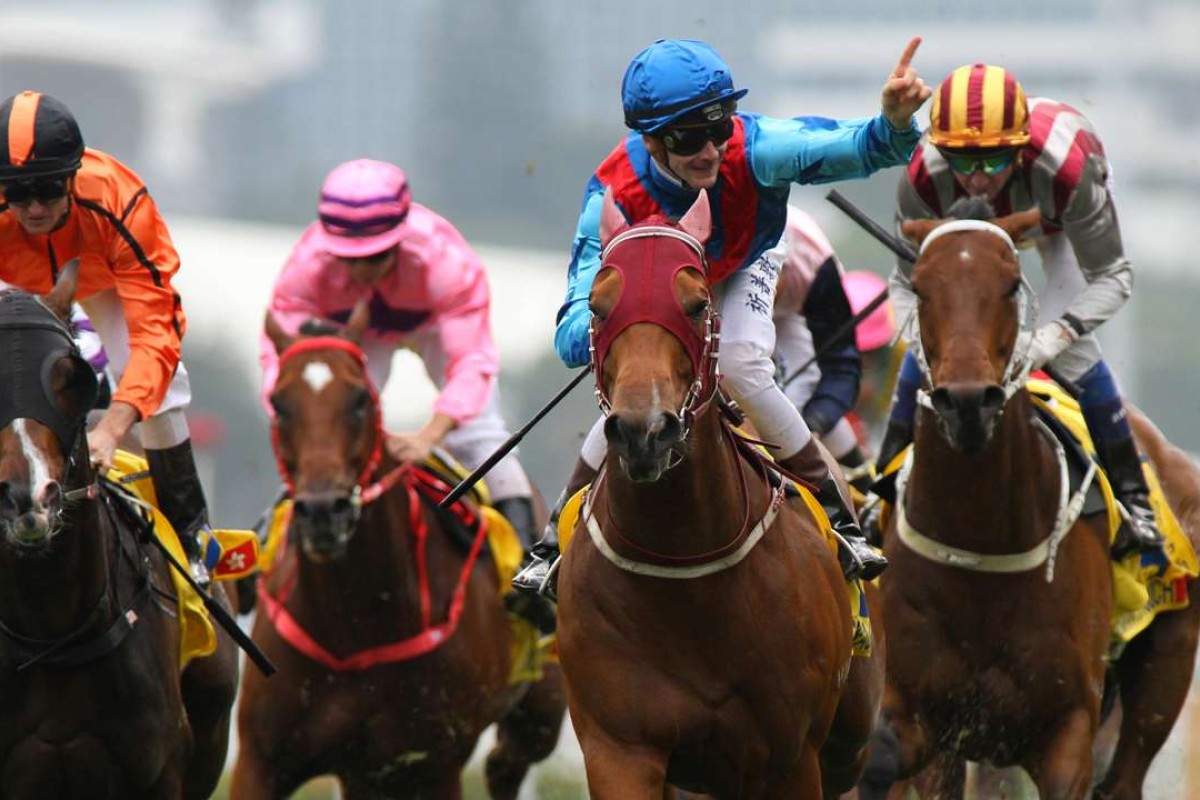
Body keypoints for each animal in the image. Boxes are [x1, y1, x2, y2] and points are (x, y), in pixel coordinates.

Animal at [236, 307, 568, 800]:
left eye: (360, 400)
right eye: (279, 403)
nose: (324, 511)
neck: (356, 626)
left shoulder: (437, 763)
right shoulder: (260, 760)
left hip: (543, 709)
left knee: (507, 762)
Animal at [556, 191, 888, 800]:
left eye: (694, 303)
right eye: (597, 306)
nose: (644, 431)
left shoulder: (791, 757)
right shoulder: (619, 748)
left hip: (848, 742)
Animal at [864, 209, 1200, 796]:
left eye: (1010, 285)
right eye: (921, 287)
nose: (967, 402)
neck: (979, 544)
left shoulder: (1069, 730)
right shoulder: (922, 715)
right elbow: (877, 755)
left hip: (1168, 658)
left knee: (1125, 774)